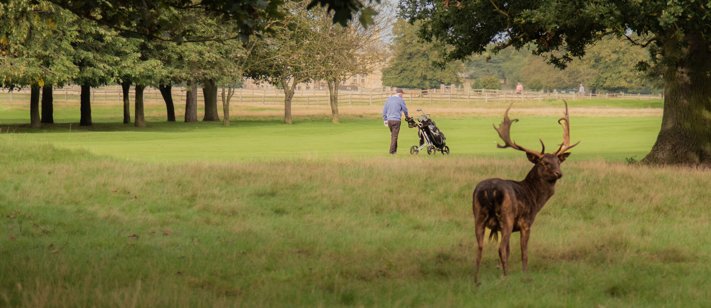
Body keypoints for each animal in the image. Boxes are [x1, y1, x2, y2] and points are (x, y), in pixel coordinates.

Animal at [472, 101, 580, 284]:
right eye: (543, 162)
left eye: (558, 161)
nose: (558, 173)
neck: (535, 198)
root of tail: (490, 191)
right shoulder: (526, 222)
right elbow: (523, 252)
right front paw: (525, 274)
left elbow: (509, 251)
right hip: (507, 216)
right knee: (500, 248)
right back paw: (506, 277)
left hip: (478, 215)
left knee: (479, 247)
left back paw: (477, 279)